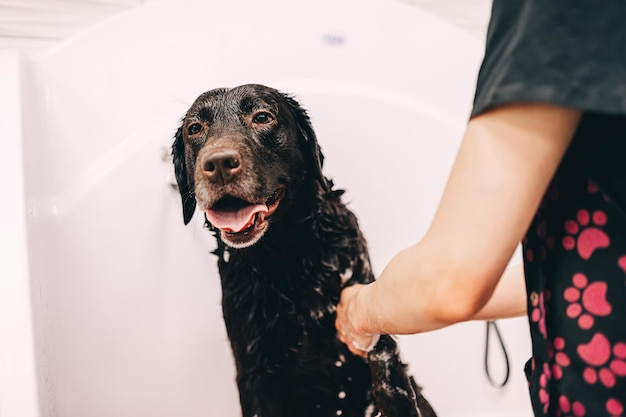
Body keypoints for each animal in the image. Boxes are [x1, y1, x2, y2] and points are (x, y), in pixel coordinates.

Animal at [171, 84, 434, 416]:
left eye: (262, 117)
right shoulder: (252, 368)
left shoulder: (362, 303)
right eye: (195, 129)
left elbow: (385, 358)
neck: (286, 257)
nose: (218, 164)